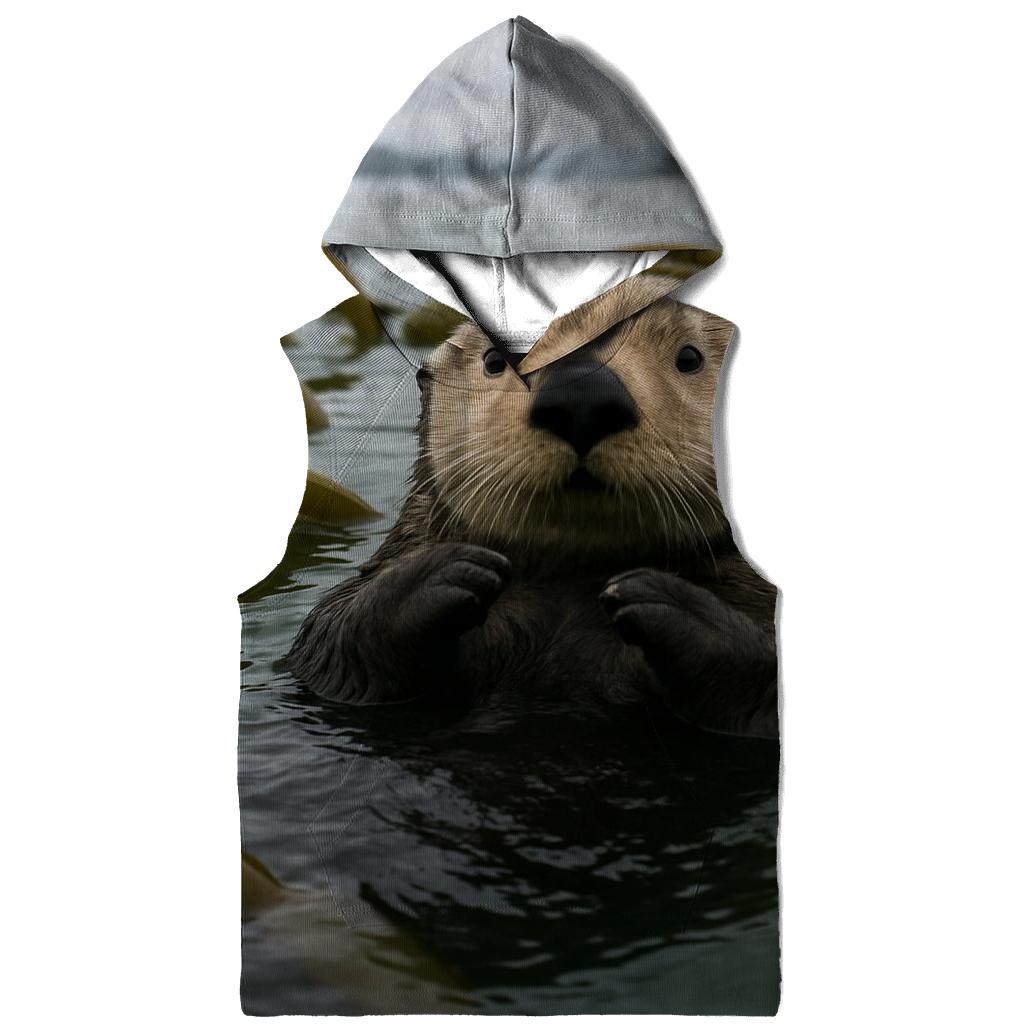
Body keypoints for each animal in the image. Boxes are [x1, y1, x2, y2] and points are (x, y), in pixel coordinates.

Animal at [286, 298, 778, 739]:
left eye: (689, 358)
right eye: (494, 360)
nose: (581, 396)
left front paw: (660, 596)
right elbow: (333, 638)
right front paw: (444, 572)